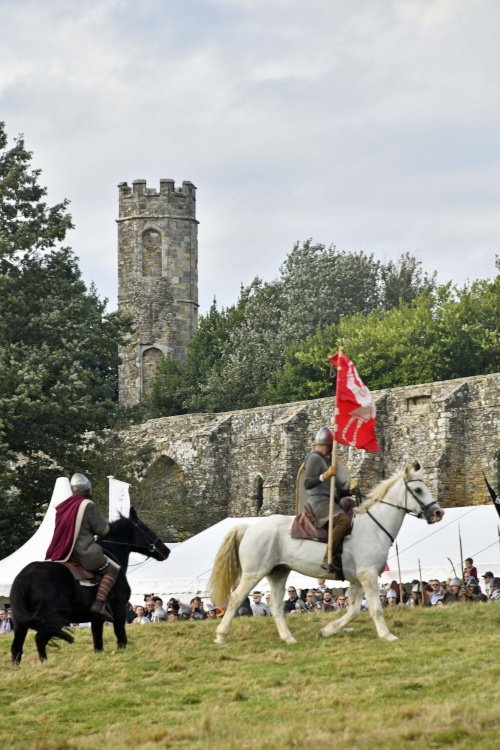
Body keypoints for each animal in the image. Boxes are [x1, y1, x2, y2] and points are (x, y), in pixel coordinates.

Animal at [9, 508, 169, 668]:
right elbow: (121, 639)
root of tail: (24, 577)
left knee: (17, 647)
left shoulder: (96, 619)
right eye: (145, 528)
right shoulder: (118, 610)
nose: (166, 551)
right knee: (39, 640)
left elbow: (98, 645)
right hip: (53, 619)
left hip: (21, 623)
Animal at [209, 464, 444, 648]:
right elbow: (376, 608)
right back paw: (220, 636)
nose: (438, 513)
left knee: (275, 605)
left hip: (278, 573)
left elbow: (353, 610)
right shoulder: (367, 575)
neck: (374, 526)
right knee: (236, 598)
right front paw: (387, 635)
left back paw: (289, 638)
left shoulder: (357, 579)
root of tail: (249, 527)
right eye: (418, 489)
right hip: (254, 573)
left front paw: (327, 630)